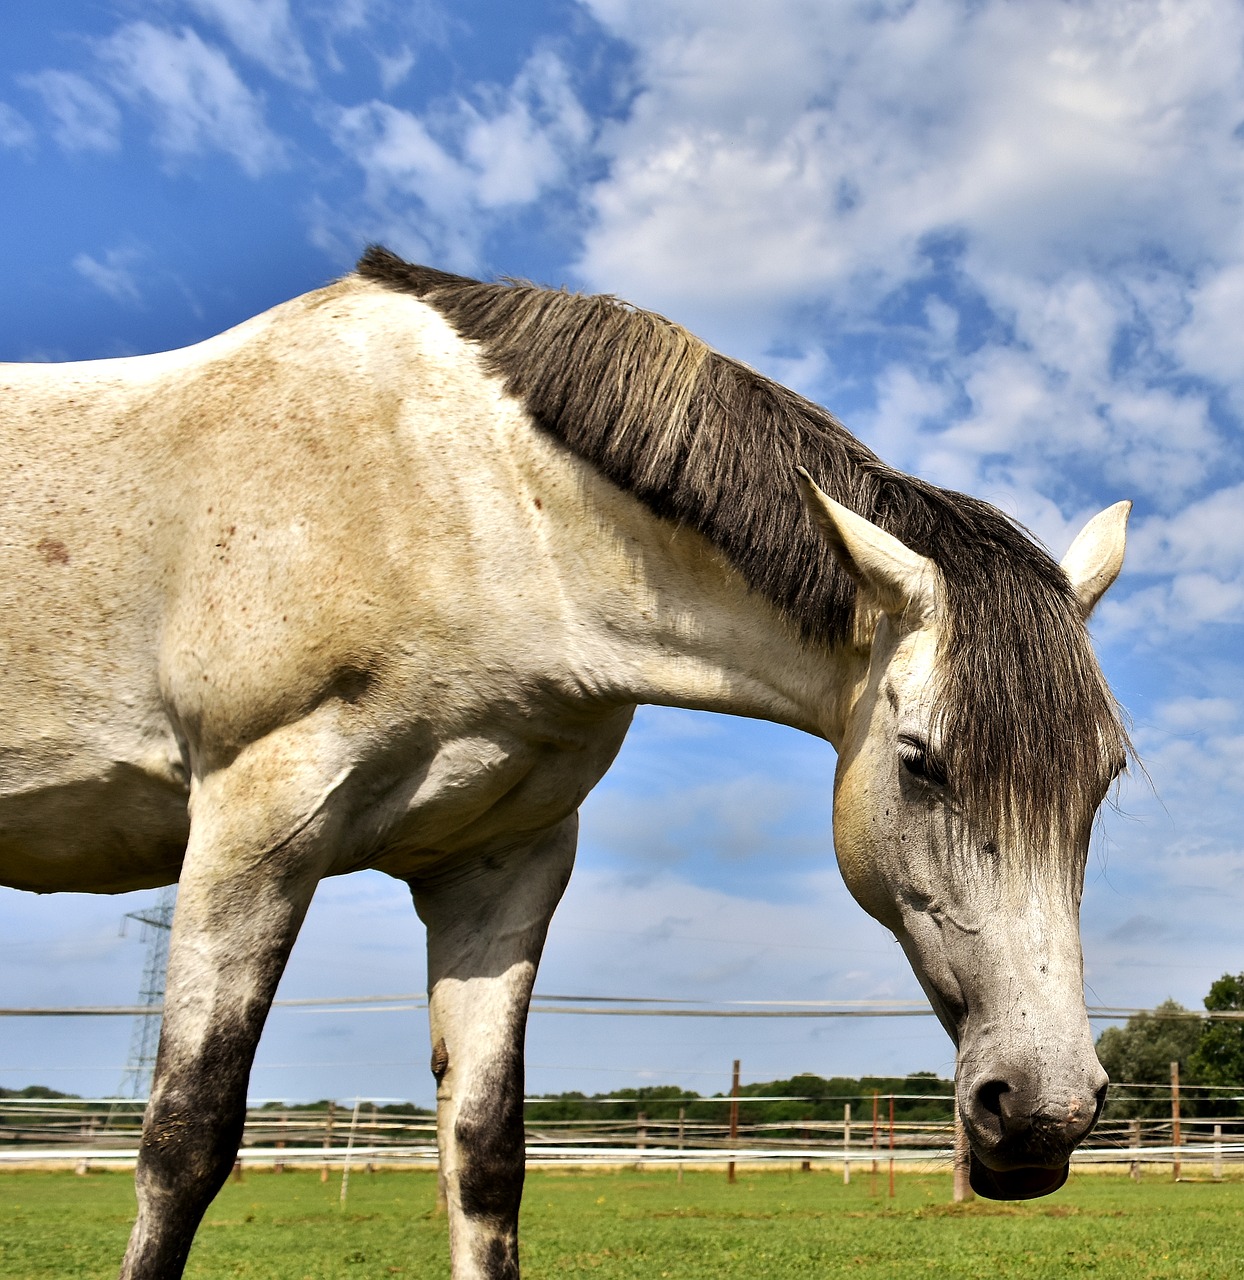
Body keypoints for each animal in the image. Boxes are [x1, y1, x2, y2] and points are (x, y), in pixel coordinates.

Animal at [0, 244, 1126, 1274]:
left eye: (1103, 779)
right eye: (918, 760)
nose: (1045, 1109)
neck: (464, 508)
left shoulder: (502, 867)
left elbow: (485, 1152)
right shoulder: (251, 830)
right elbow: (185, 1140)